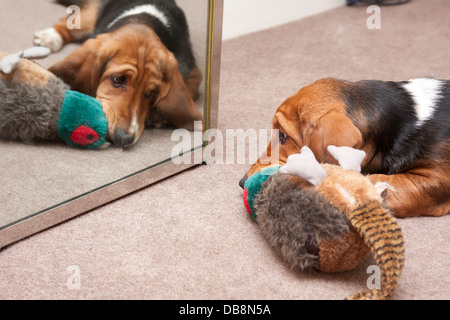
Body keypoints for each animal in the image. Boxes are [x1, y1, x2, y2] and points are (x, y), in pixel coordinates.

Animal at [34, 0, 203, 148]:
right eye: (117, 79)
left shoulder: (193, 75)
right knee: (68, 24)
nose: (124, 139)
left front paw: (158, 115)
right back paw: (50, 37)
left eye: (151, 93)